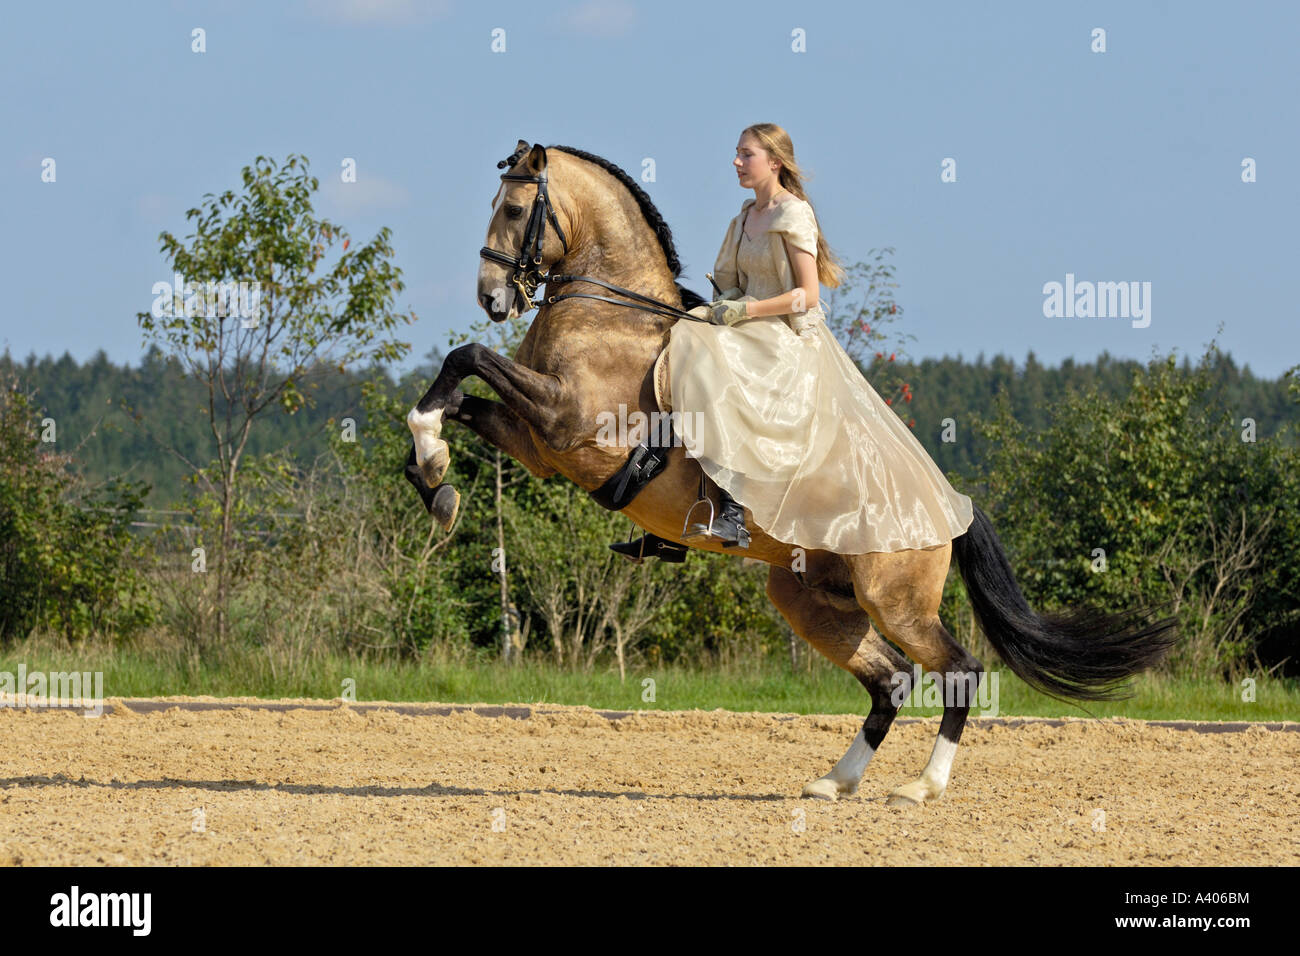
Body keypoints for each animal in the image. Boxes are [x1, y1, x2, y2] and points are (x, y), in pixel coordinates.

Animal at [405, 140, 1177, 806]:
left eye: (512, 209)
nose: (493, 298)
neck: (608, 309)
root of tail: (950, 506)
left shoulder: (567, 421)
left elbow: (469, 357)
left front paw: (434, 463)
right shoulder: (539, 442)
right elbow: (459, 385)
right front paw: (434, 476)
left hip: (896, 600)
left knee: (957, 671)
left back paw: (919, 789)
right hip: (810, 598)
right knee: (891, 681)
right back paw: (835, 782)